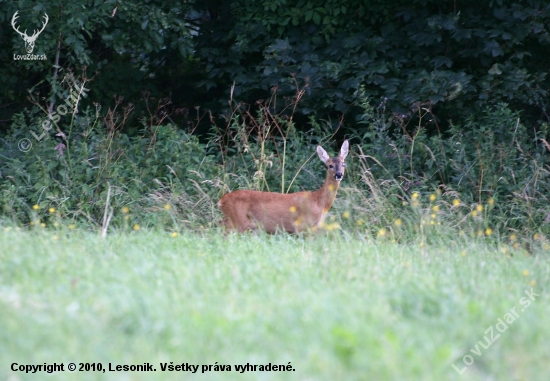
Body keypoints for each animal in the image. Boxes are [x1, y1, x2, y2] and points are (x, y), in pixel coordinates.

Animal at [219, 140, 350, 232]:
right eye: (330, 165)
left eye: (343, 163)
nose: (339, 174)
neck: (319, 202)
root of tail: (221, 201)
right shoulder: (302, 227)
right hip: (237, 221)